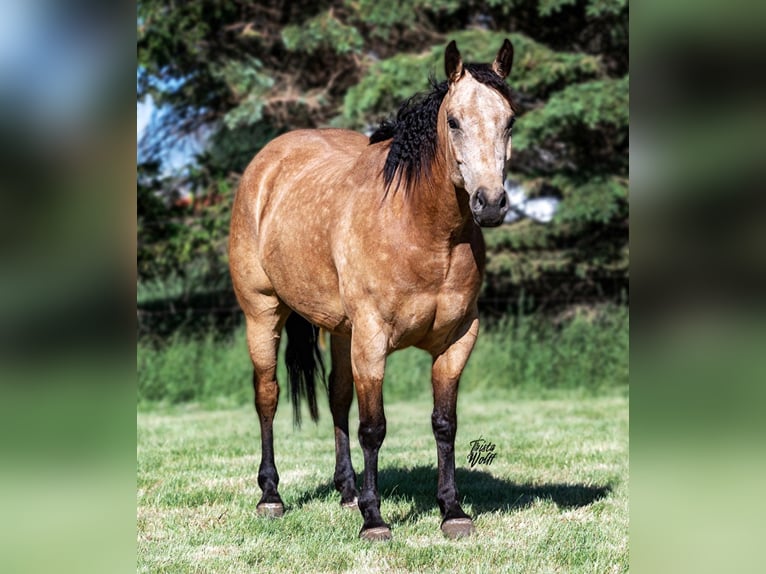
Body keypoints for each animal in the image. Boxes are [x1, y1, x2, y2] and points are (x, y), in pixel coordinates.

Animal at [228, 38, 516, 544]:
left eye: (510, 120)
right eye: (454, 121)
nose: (491, 203)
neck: (422, 229)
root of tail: (264, 166)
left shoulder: (457, 340)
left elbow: (444, 424)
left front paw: (452, 510)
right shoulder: (373, 340)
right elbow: (373, 428)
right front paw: (375, 519)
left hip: (342, 332)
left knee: (337, 397)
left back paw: (345, 490)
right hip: (263, 316)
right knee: (268, 396)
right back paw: (271, 496)